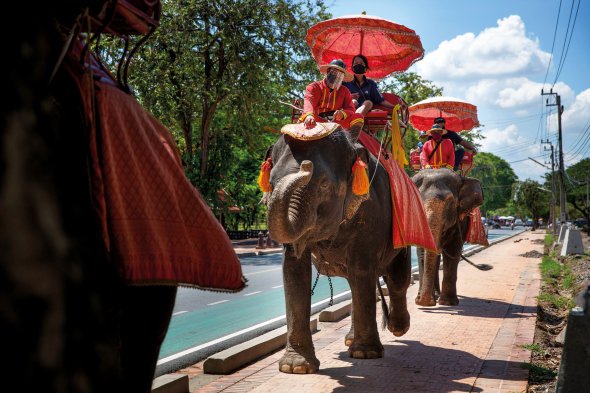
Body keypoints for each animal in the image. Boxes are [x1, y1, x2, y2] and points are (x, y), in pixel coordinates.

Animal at [266, 126, 414, 374]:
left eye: (324, 184)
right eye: (271, 180)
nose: (306, 166)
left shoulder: (372, 211)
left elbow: (362, 270)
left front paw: (365, 354)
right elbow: (294, 271)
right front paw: (295, 367)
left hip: (403, 230)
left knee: (396, 278)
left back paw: (398, 328)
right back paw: (351, 339)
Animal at [412, 168, 486, 306]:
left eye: (450, 202)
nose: (421, 302)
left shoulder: (461, 219)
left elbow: (453, 249)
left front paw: (448, 303)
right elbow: (422, 251)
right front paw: (424, 301)